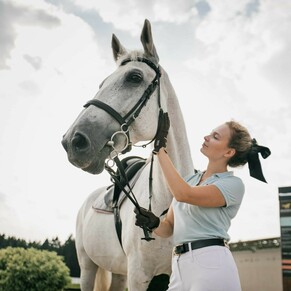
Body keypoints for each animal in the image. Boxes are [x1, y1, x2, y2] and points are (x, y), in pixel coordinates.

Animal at [61, 19, 194, 290]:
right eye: (101, 84)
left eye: (134, 77)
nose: (73, 141)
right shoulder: (138, 276)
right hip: (88, 267)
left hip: (119, 273)